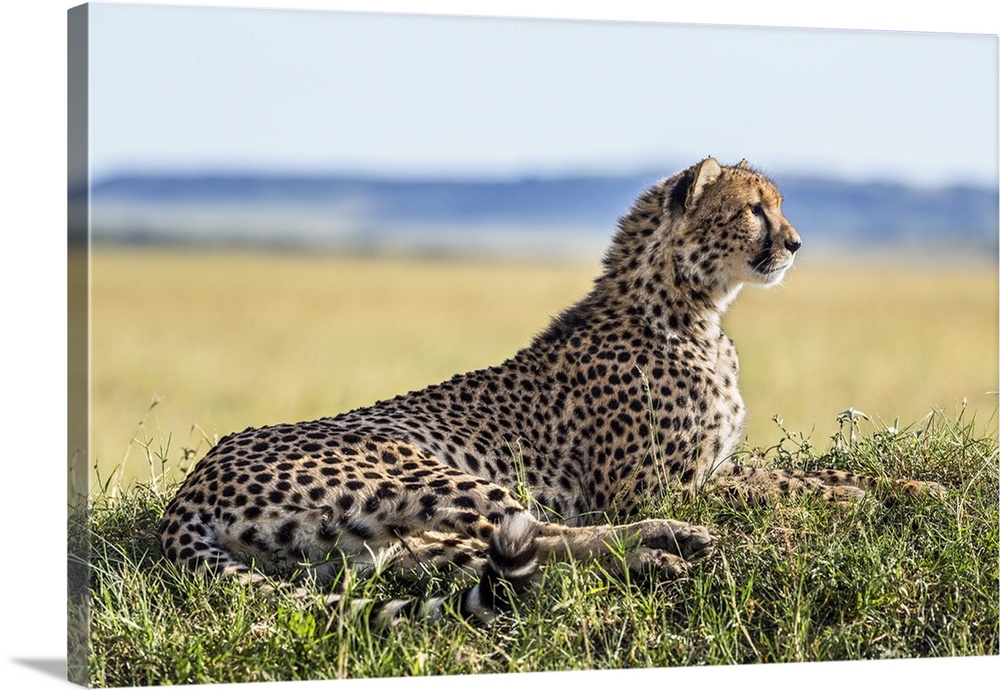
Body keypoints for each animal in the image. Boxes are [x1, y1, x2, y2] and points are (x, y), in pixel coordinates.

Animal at [162, 157, 944, 624]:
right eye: (755, 209)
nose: (796, 243)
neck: (691, 309)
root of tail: (191, 486)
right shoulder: (652, 487)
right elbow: (777, 489)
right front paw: (845, 502)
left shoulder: (709, 467)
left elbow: (797, 472)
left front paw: (912, 489)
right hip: (417, 468)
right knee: (537, 531)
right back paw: (663, 548)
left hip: (382, 546)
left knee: (509, 552)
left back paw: (657, 553)